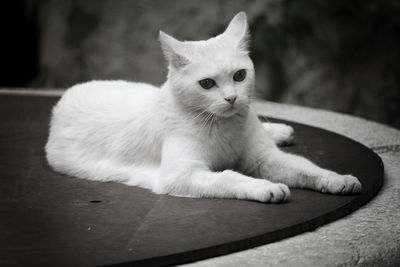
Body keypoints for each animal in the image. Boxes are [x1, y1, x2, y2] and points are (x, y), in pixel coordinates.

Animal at [45, 12, 360, 203]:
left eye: (240, 76)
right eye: (207, 84)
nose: (232, 98)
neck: (224, 126)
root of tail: (67, 95)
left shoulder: (266, 158)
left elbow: (307, 168)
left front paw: (338, 180)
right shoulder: (180, 175)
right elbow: (230, 177)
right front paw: (265, 187)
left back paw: (280, 131)